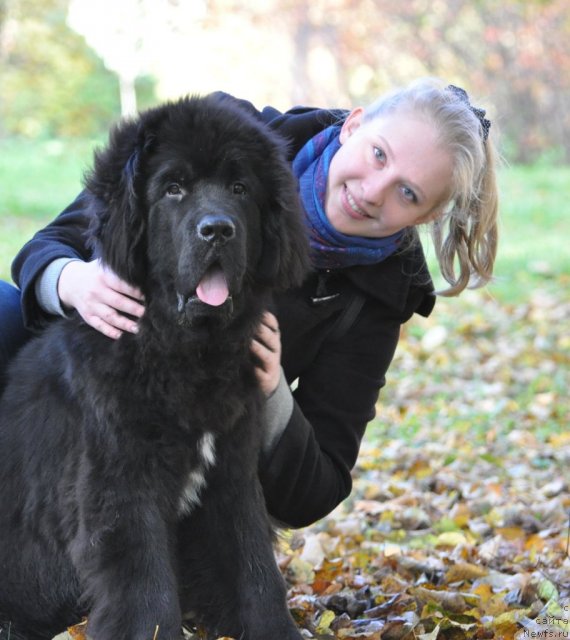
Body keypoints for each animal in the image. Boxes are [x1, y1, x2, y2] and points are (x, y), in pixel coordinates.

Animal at [0, 95, 306, 640]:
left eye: (239, 188)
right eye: (173, 188)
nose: (217, 230)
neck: (186, 352)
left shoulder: (231, 468)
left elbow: (255, 566)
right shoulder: (122, 482)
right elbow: (145, 583)